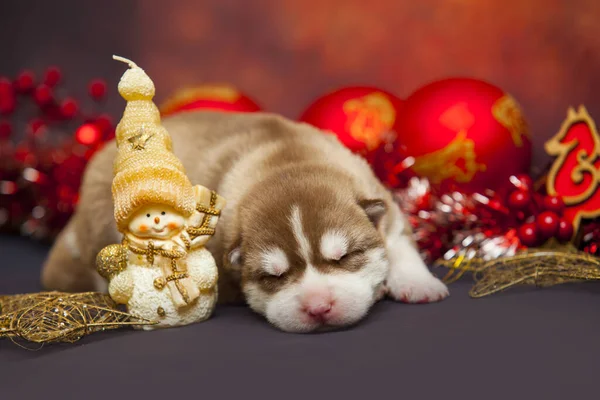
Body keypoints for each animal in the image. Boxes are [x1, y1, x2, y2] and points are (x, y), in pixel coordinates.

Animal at [41, 111, 446, 332]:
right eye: (272, 277)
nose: (318, 307)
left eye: (343, 258)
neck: (286, 163)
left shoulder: (380, 198)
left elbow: (399, 241)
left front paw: (418, 284)